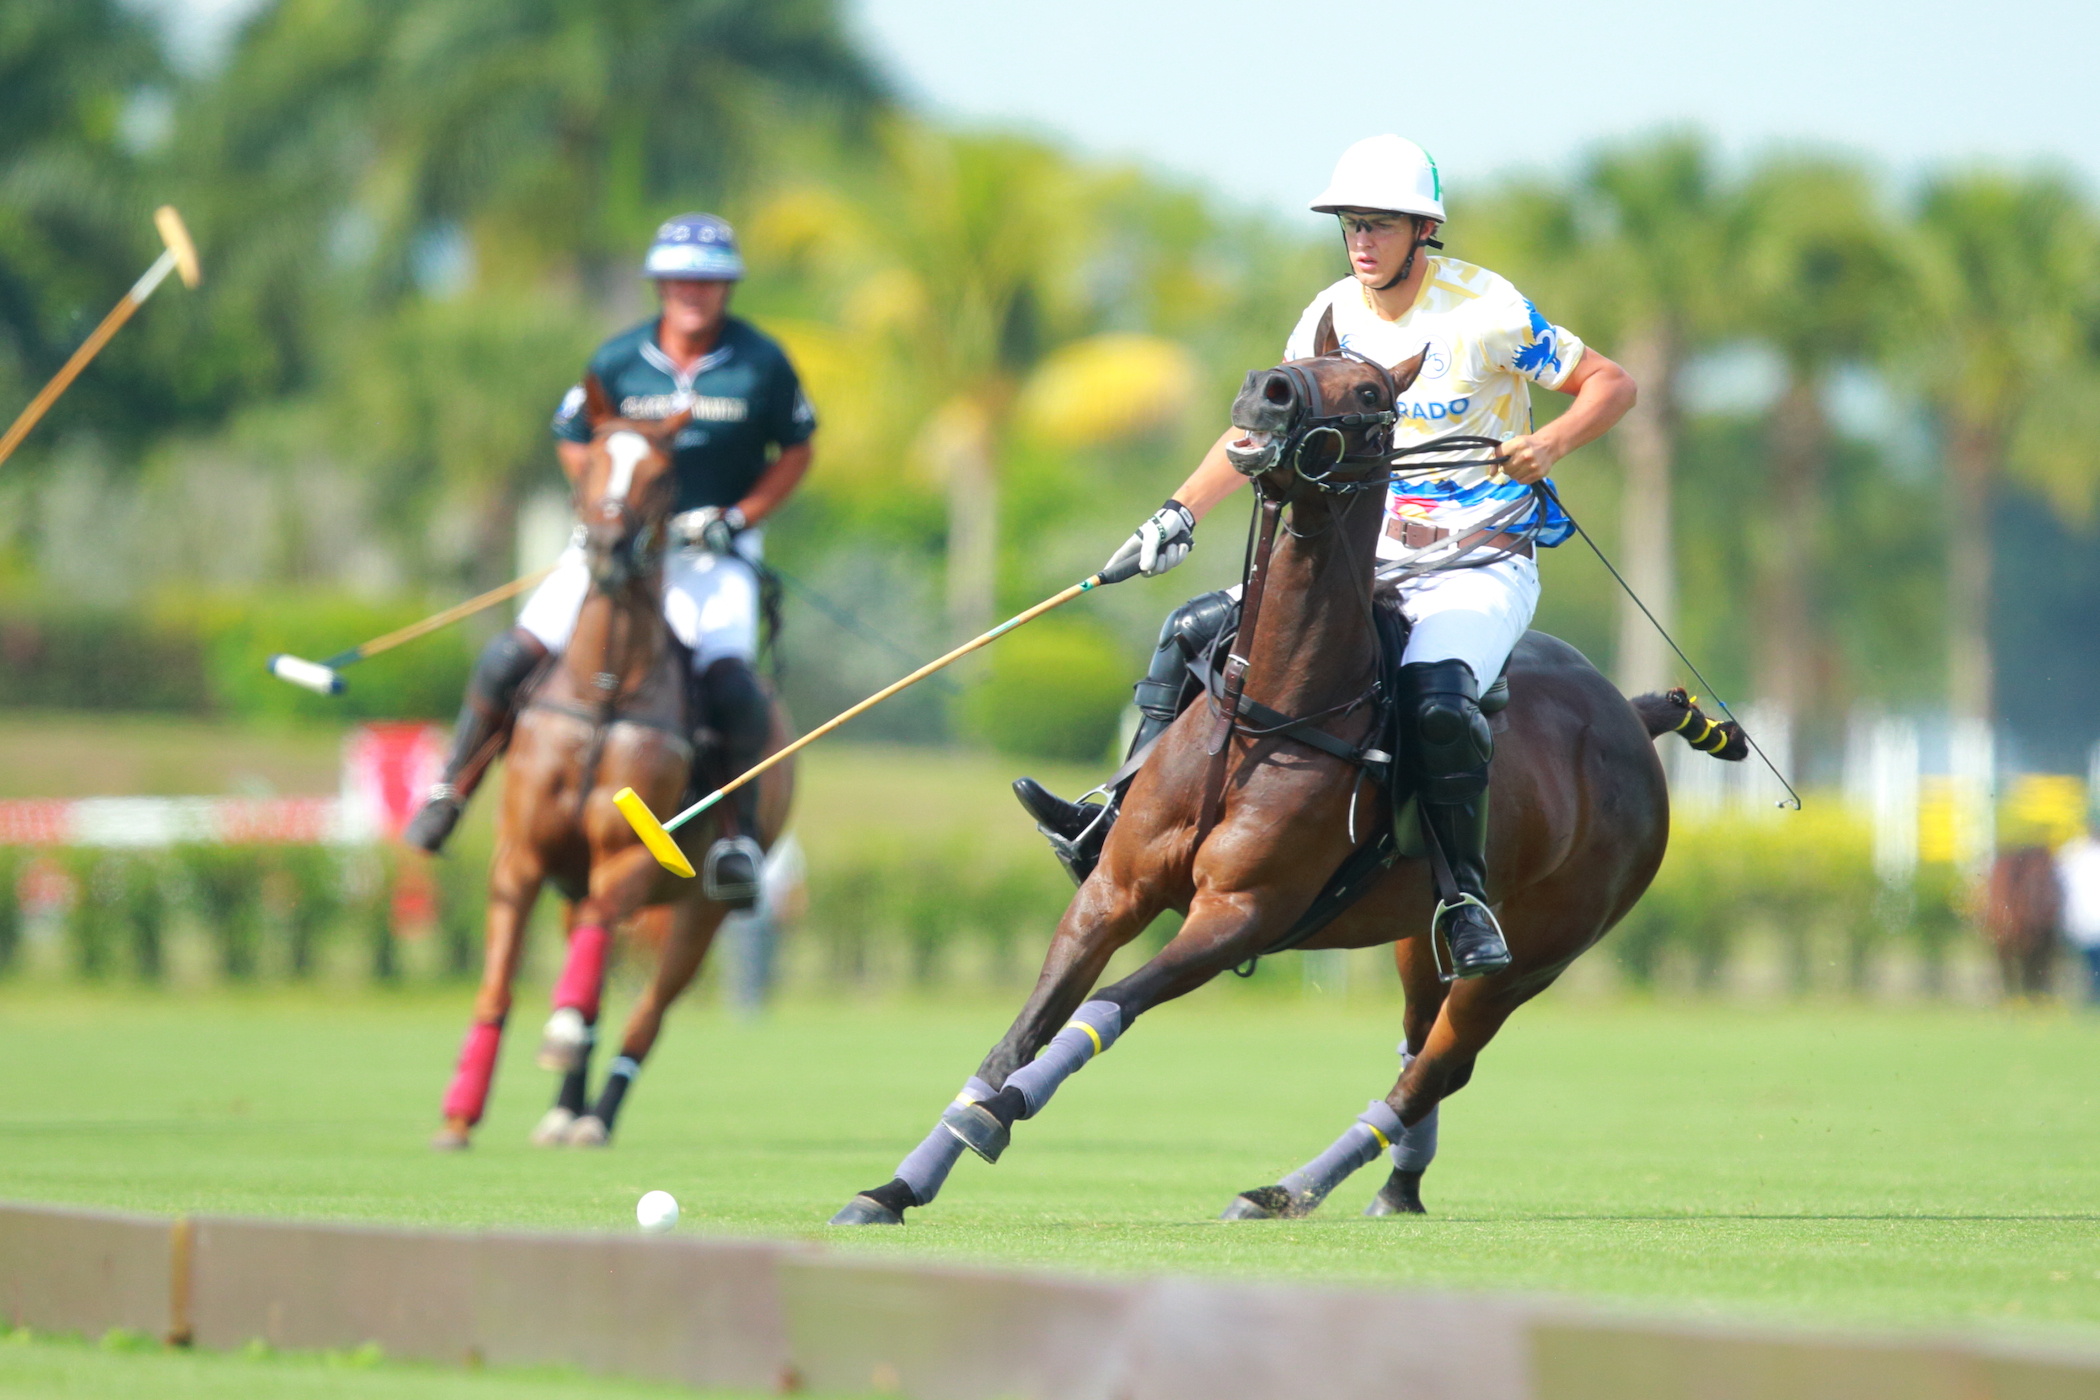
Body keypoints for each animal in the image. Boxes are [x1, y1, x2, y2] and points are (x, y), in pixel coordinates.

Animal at [430, 392, 789, 1150]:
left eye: (661, 476)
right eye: (591, 462)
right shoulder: (523, 856)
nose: (605, 549)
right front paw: (461, 1109)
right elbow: (497, 983)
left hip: (702, 913)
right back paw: (565, 1109)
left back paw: (597, 1114)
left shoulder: (626, 855)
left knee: (646, 1012)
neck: (604, 688)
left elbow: (604, 926)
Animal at [835, 314, 1738, 1225]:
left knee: (1434, 1062)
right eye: (1300, 358)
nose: (1263, 393)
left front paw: (996, 1119)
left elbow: (1104, 1008)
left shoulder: (1239, 913)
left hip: (1534, 956)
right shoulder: (1114, 889)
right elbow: (1020, 1031)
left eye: (1371, 392)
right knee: (1423, 1049)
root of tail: (1631, 713)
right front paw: (896, 1186)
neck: (1268, 711)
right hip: (1419, 937)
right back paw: (1396, 1188)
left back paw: (1287, 1189)